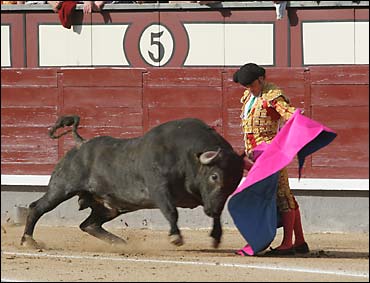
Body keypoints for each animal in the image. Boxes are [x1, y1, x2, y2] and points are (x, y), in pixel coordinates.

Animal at [21, 116, 246, 250]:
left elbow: (217, 217)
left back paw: (120, 244)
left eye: (235, 182)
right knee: (36, 208)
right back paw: (28, 241)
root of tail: (80, 143)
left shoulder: (207, 199)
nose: (211, 209)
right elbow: (172, 212)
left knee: (89, 224)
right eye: (214, 176)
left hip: (109, 207)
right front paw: (175, 237)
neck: (187, 156)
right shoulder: (159, 190)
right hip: (60, 189)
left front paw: (216, 237)